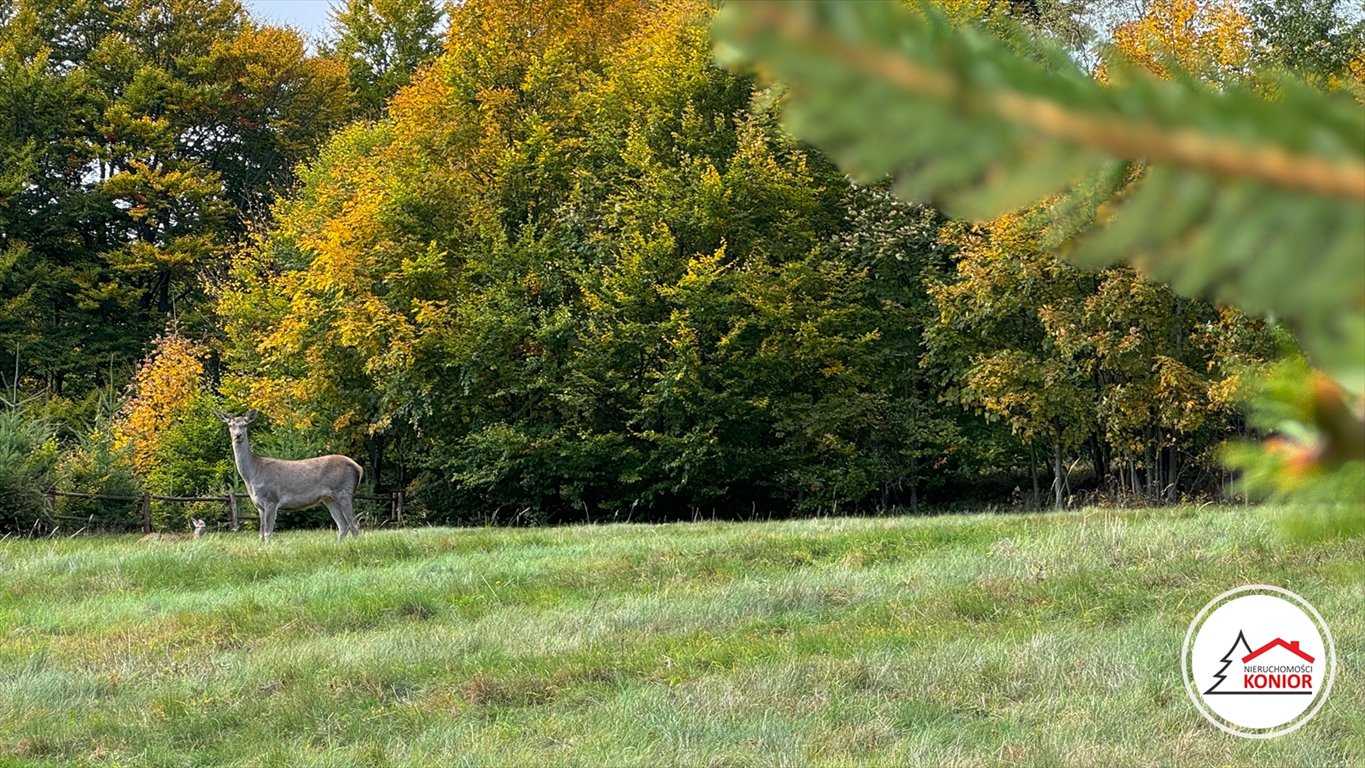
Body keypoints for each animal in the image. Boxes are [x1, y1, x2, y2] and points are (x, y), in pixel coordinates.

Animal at [212, 409, 363, 540]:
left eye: (245, 424)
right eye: (230, 425)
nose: (238, 435)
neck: (252, 475)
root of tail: (358, 468)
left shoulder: (271, 499)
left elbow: (268, 533)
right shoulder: (259, 506)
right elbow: (261, 534)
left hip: (344, 491)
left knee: (354, 524)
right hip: (329, 498)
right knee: (342, 525)